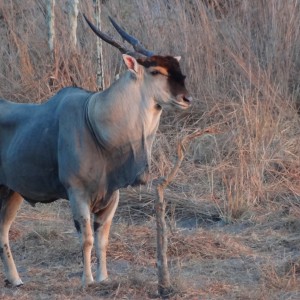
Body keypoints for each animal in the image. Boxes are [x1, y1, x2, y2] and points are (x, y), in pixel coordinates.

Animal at [0, 14, 192, 286]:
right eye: (155, 71)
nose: (187, 99)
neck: (94, 121)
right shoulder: (77, 193)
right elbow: (88, 238)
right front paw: (87, 280)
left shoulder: (111, 196)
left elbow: (103, 239)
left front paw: (103, 278)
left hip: (12, 192)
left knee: (2, 230)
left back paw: (15, 279)